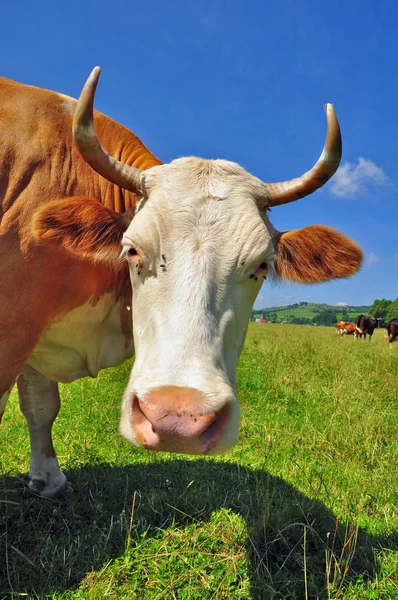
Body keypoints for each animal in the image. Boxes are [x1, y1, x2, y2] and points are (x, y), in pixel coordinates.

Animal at [0, 67, 362, 496]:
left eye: (262, 264)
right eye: (132, 250)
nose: (178, 419)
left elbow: (40, 405)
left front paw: (48, 478)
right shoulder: (14, 330)